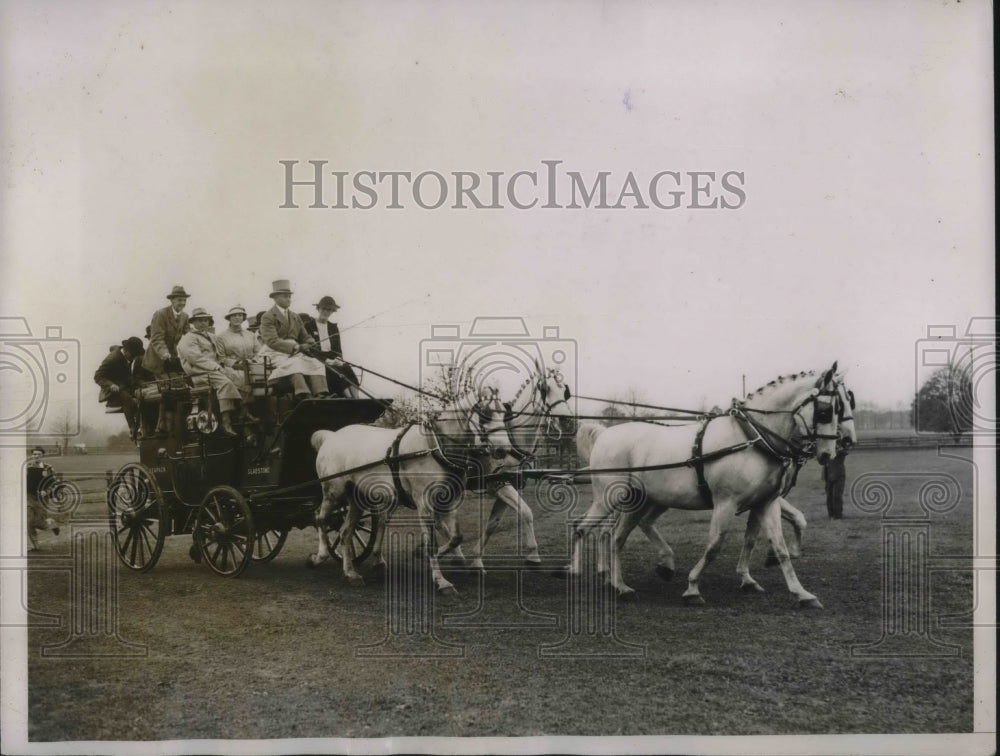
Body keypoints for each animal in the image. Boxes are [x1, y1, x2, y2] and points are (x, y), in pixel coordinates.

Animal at [308, 384, 512, 596]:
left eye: (505, 413)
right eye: (485, 414)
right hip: (333, 492)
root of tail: (331, 436)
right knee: (322, 520)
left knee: (346, 531)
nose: (503, 449)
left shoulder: (450, 501)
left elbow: (456, 537)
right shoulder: (424, 503)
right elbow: (432, 543)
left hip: (357, 498)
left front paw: (428, 554)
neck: (435, 447)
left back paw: (351, 573)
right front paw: (442, 581)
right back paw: (320, 556)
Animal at [568, 362, 856, 608]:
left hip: (640, 502)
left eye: (847, 403)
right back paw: (584, 573)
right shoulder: (726, 503)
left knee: (617, 537)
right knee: (584, 528)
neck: (753, 438)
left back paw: (622, 583)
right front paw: (693, 588)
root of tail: (606, 434)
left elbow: (777, 545)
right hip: (608, 499)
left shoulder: (766, 503)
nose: (833, 451)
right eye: (827, 410)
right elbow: (715, 545)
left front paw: (801, 592)